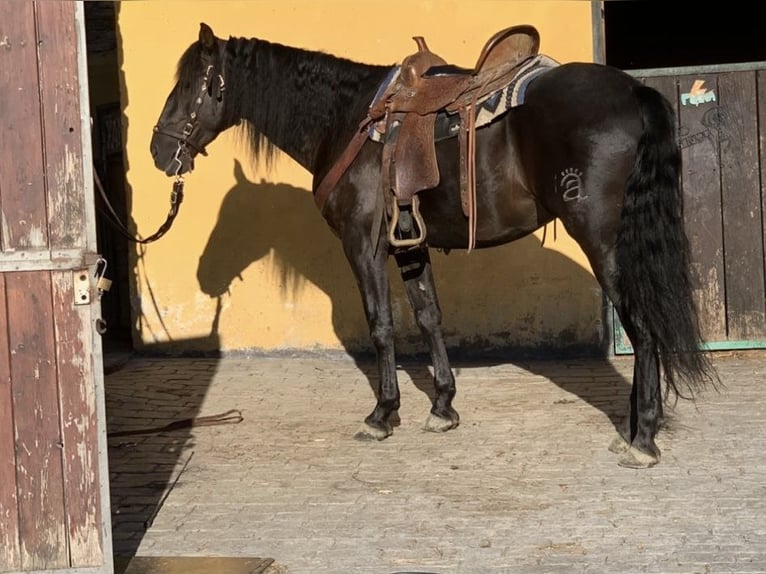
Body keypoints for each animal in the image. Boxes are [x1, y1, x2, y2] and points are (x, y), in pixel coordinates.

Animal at [150, 22, 718, 468]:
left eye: (189, 85)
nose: (158, 150)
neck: (346, 119)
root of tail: (632, 92)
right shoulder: (409, 245)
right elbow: (428, 317)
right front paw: (442, 406)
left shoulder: (363, 246)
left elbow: (381, 326)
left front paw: (382, 414)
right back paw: (636, 425)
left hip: (606, 243)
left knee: (642, 324)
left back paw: (642, 437)